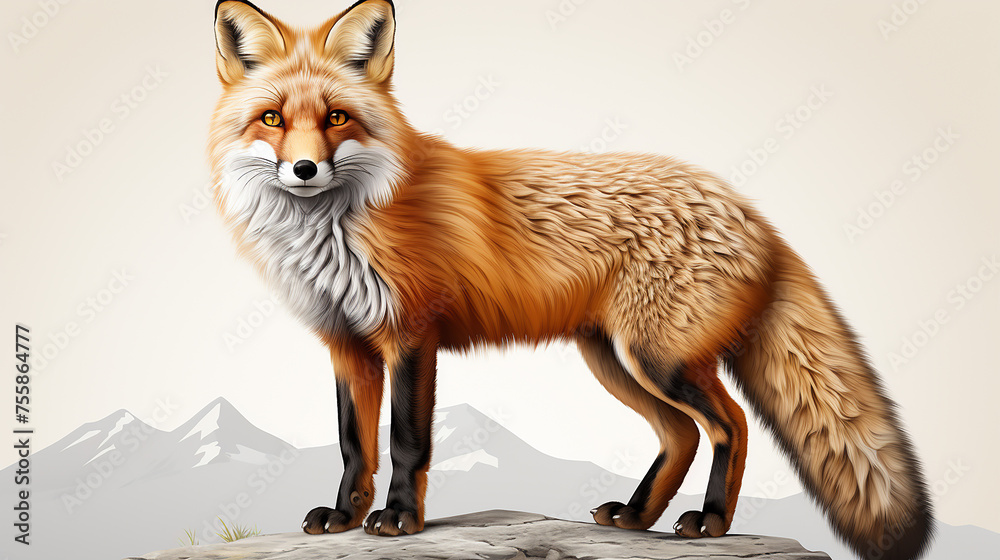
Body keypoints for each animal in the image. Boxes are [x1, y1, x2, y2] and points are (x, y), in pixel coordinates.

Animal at [207, 1, 933, 558]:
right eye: (272, 119)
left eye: (337, 118)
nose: (303, 170)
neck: (337, 234)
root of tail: (747, 206)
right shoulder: (347, 345)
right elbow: (353, 444)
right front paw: (346, 517)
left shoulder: (412, 335)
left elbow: (407, 442)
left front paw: (401, 519)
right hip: (612, 360)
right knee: (681, 434)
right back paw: (637, 517)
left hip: (659, 359)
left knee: (730, 427)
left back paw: (710, 522)